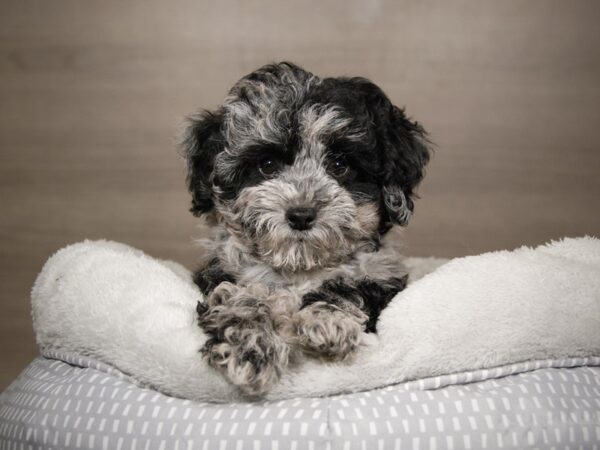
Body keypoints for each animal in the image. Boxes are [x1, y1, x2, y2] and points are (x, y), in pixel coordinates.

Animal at [183, 61, 432, 396]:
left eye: (340, 166)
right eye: (267, 165)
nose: (301, 215)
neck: (299, 266)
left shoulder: (381, 278)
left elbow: (349, 289)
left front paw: (328, 323)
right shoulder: (223, 271)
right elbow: (241, 296)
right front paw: (251, 347)